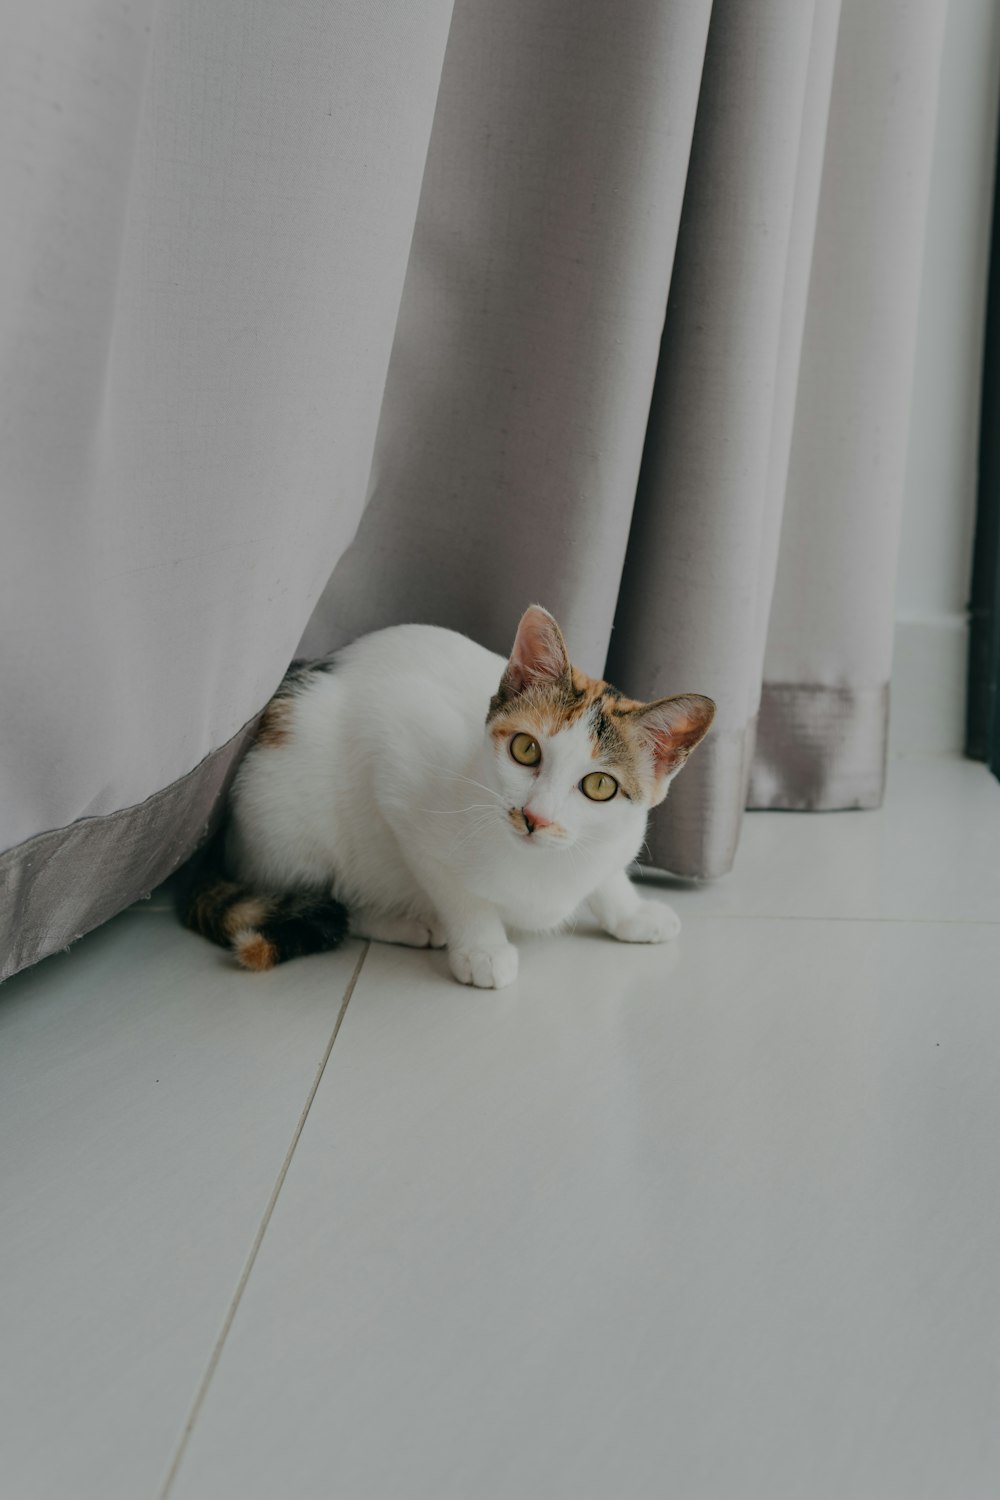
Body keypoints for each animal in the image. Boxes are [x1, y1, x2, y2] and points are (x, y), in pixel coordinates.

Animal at [183, 603, 716, 990]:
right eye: (526, 749)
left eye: (599, 786)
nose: (535, 817)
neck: (542, 864)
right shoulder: (397, 773)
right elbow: (454, 887)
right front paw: (481, 948)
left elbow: (606, 874)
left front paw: (630, 913)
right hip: (291, 816)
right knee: (328, 898)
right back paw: (405, 922)